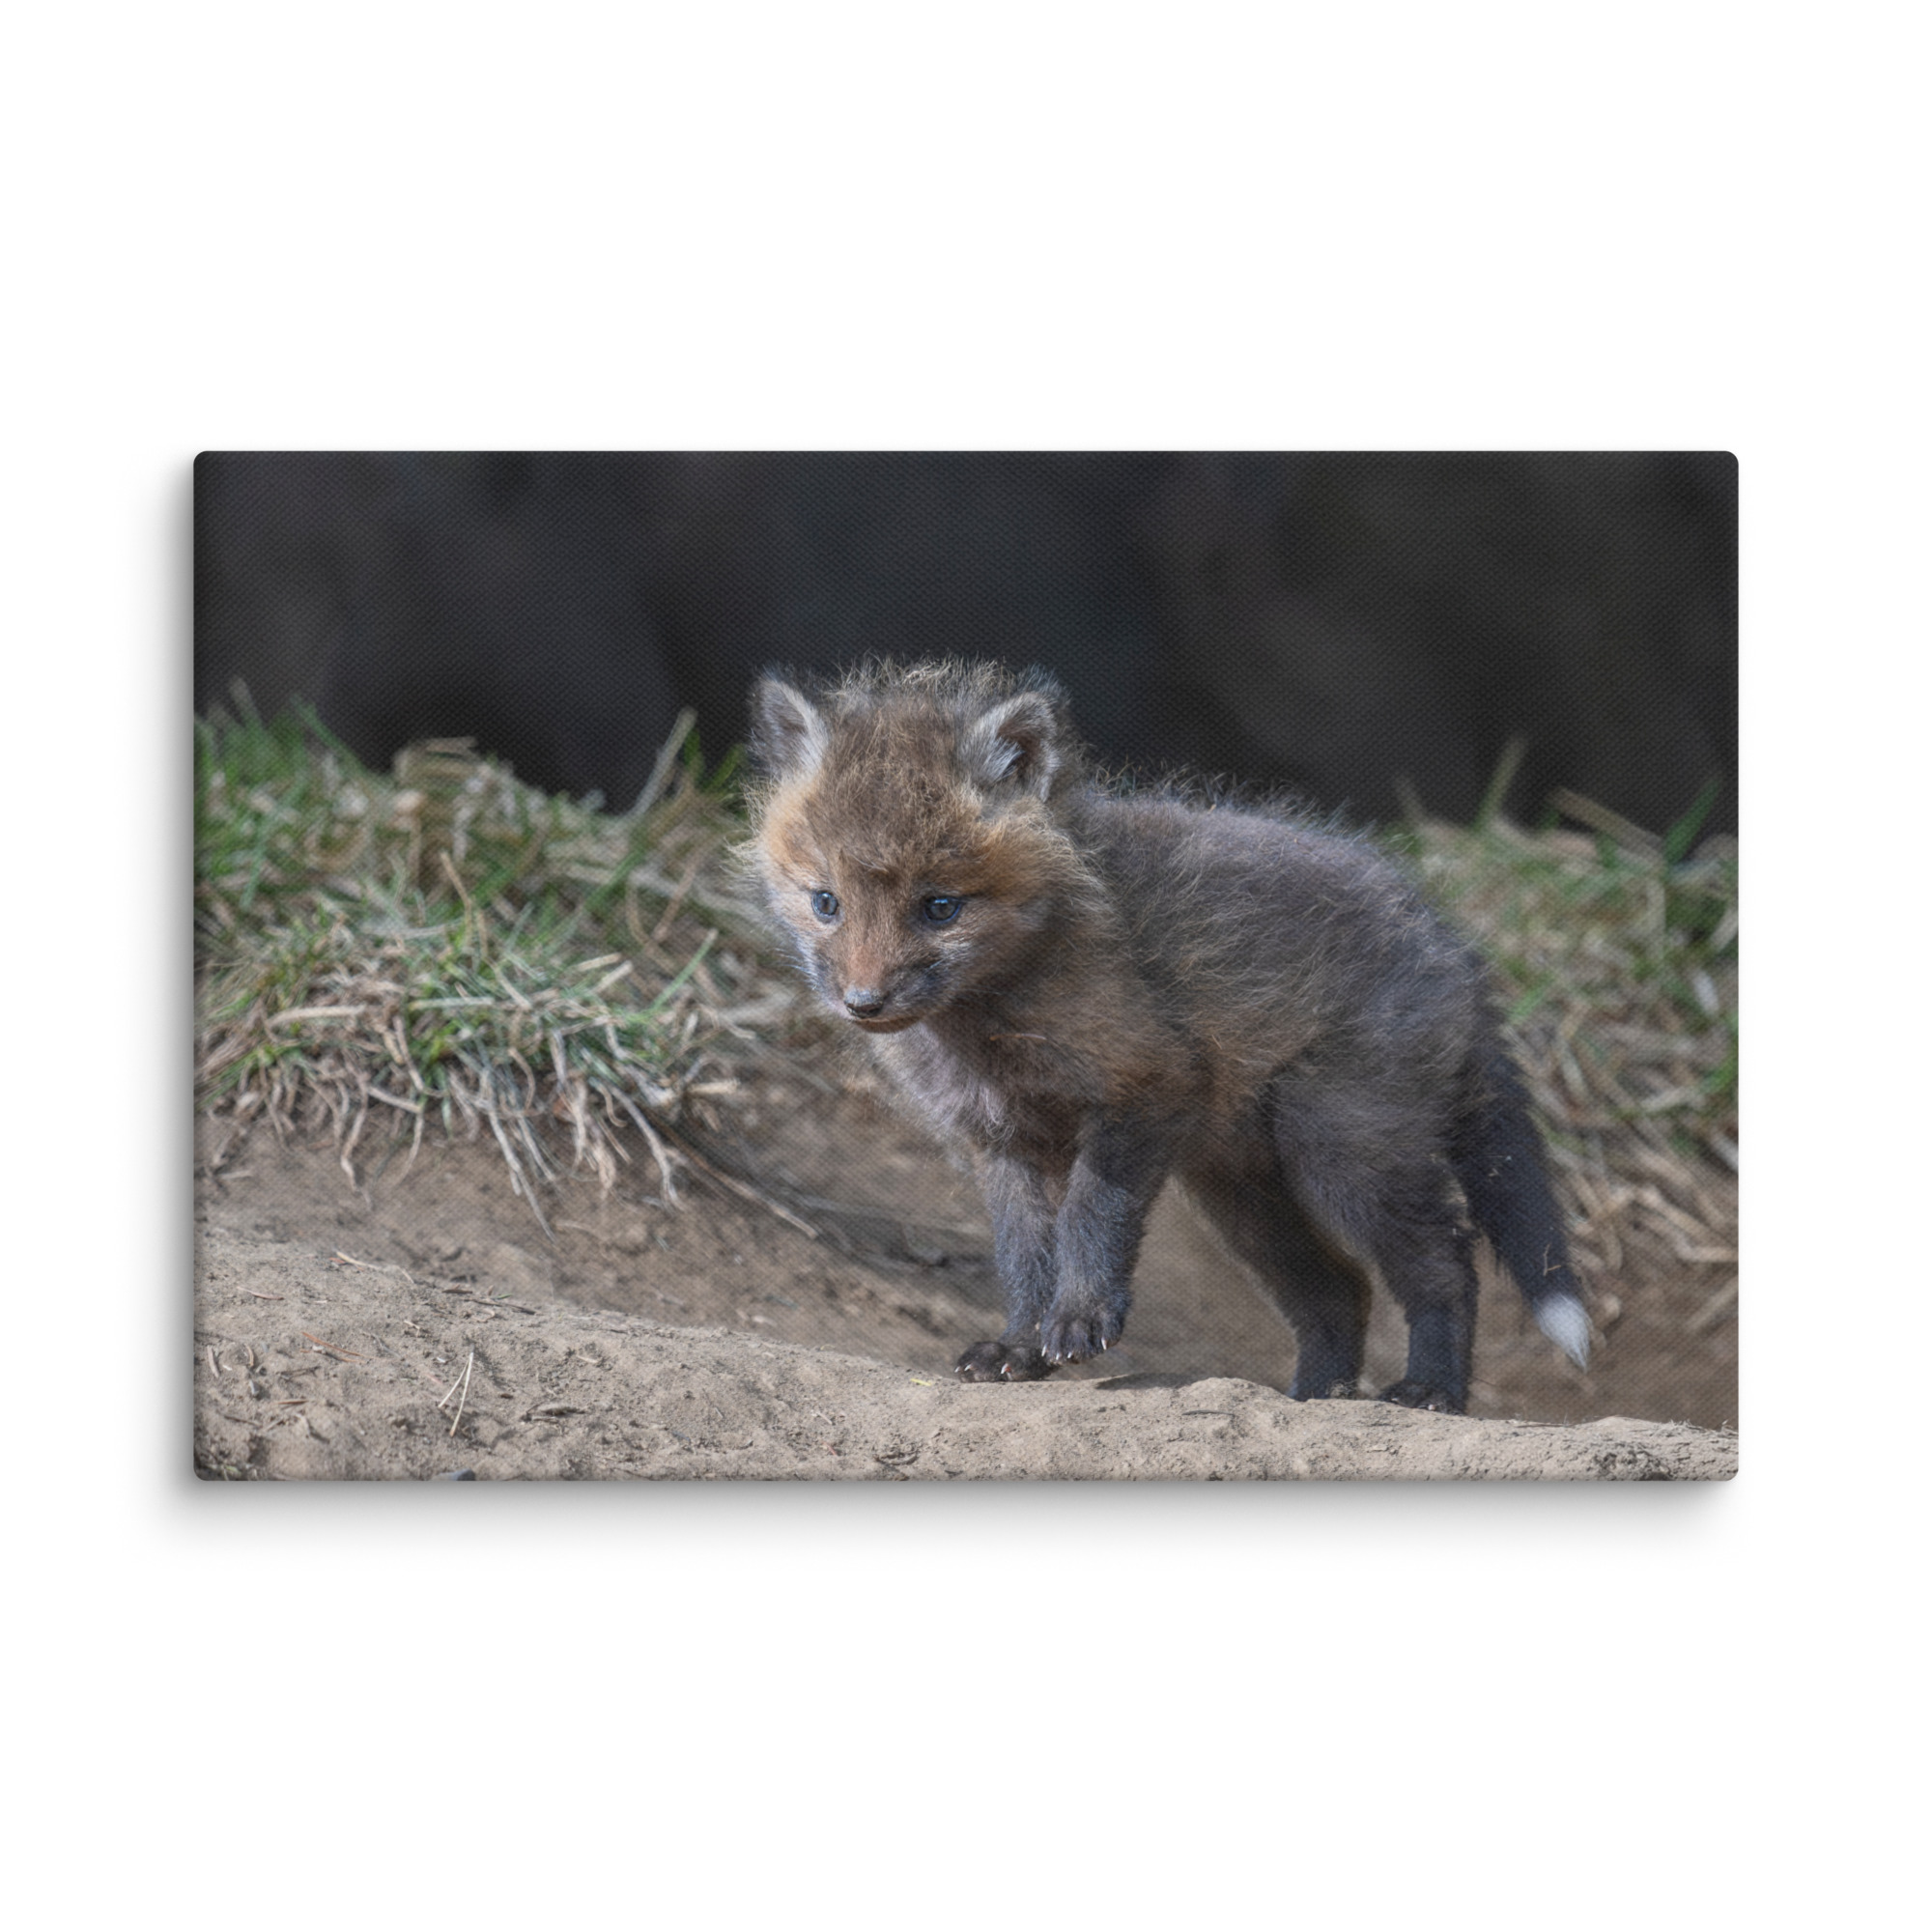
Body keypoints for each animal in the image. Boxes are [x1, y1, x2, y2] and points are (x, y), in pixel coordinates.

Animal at [745, 659, 1590, 1413]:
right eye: (826, 902)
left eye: (940, 907)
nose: (863, 1002)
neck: (989, 1028)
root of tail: (1454, 947)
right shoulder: (1002, 1141)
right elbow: (1023, 1257)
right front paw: (1020, 1347)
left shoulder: (1145, 1084)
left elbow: (1091, 1217)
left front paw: (1081, 1320)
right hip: (1244, 1193)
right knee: (1339, 1290)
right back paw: (1314, 1398)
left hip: (1343, 1151)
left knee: (1446, 1262)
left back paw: (1430, 1391)